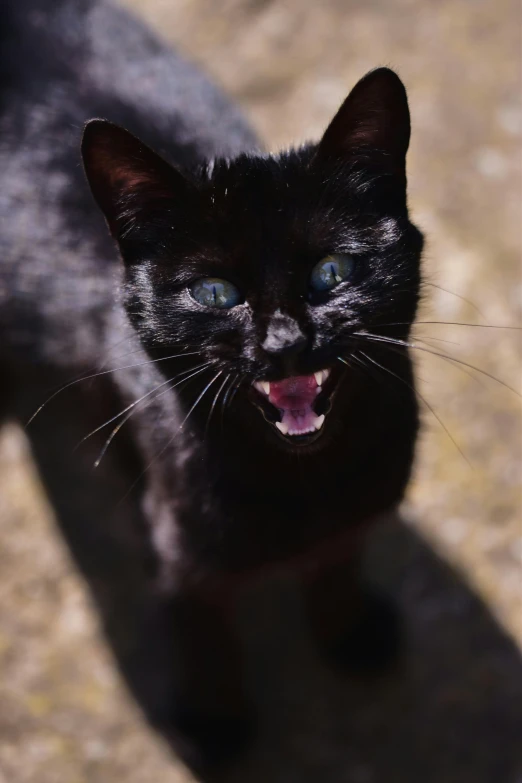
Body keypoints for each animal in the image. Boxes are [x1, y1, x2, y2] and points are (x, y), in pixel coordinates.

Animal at [0, 0, 422, 772]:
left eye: (331, 274)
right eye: (215, 292)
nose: (283, 342)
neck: (305, 487)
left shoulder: (359, 501)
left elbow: (340, 558)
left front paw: (347, 630)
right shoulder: (178, 532)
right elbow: (201, 626)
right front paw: (215, 721)